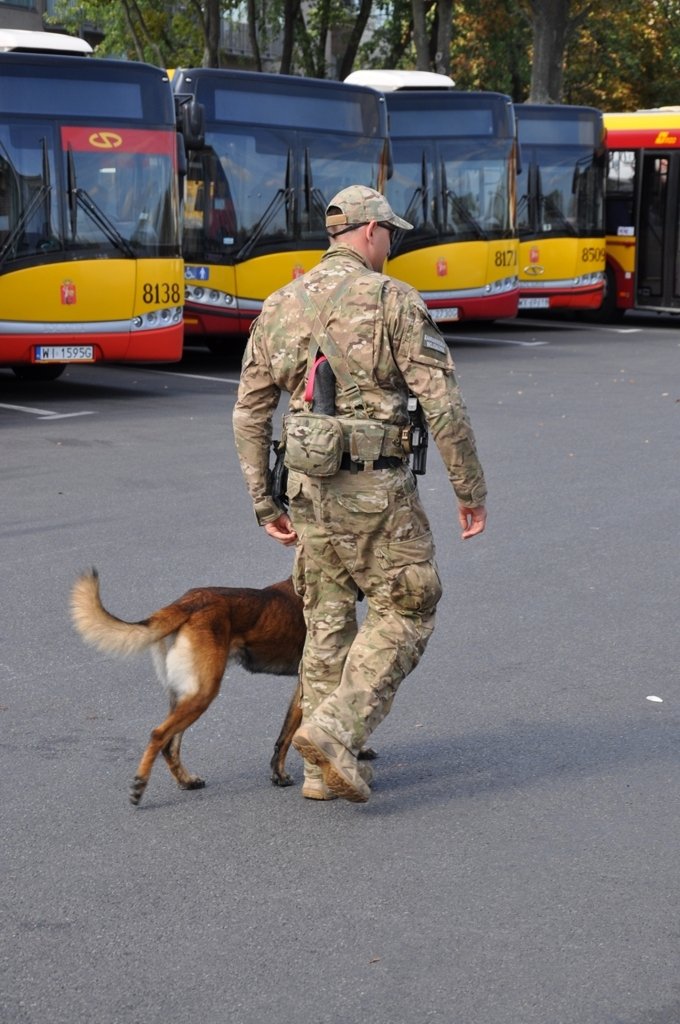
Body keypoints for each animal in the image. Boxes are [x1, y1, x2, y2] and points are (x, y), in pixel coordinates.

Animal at [71, 573, 305, 802]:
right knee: (158, 735)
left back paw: (185, 780)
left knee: (169, 745)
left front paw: (278, 775)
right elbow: (290, 735)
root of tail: (187, 603)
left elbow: (285, 735)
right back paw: (140, 784)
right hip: (203, 693)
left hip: (185, 695)